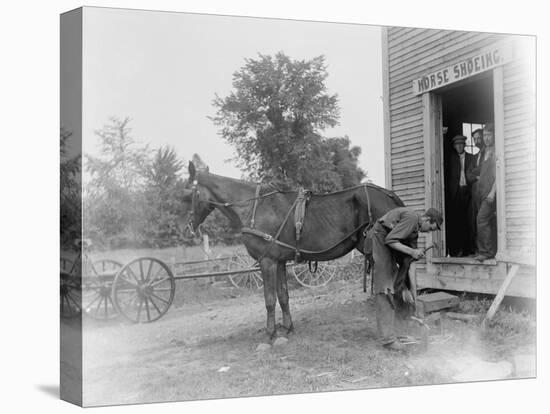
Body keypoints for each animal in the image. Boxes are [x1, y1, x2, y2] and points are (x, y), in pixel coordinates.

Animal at [183, 160, 408, 338]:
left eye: (185, 195)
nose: (188, 229)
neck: (255, 208)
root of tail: (388, 195)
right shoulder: (279, 262)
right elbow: (283, 296)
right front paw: (288, 327)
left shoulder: (267, 262)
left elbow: (269, 299)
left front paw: (271, 333)